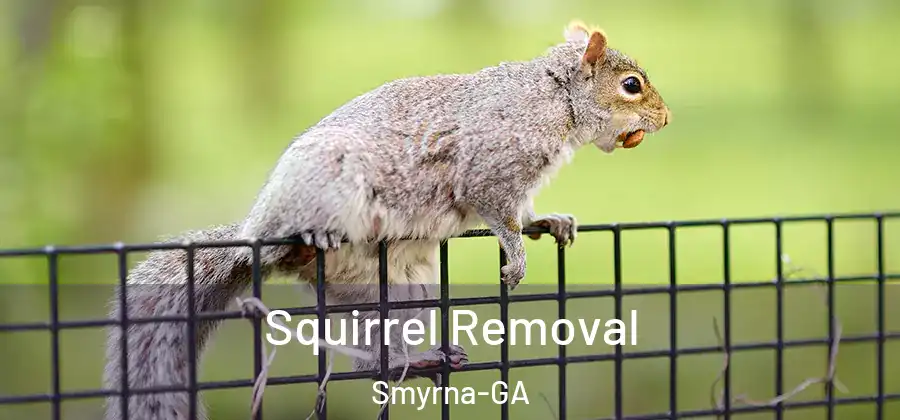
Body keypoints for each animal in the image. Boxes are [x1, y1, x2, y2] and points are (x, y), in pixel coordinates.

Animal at [102, 20, 670, 420]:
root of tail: (252, 236)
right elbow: (497, 213)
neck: (554, 98)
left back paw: (414, 361)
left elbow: (525, 212)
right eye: (631, 85)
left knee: (371, 359)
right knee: (295, 247)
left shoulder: (519, 183)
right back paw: (308, 239)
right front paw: (516, 256)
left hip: (398, 292)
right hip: (324, 187)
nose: (665, 120)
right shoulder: (489, 168)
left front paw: (549, 222)